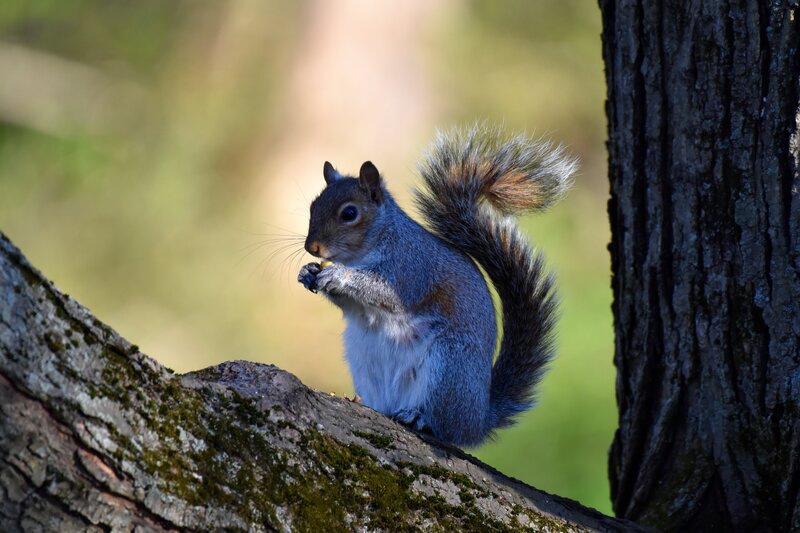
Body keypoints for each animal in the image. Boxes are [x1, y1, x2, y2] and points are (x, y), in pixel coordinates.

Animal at [297, 125, 577, 446]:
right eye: (313, 206)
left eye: (349, 213)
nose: (311, 247)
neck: (362, 252)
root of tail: (479, 418)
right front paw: (308, 273)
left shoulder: (409, 270)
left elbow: (380, 290)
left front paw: (338, 276)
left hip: (448, 368)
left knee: (447, 427)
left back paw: (420, 417)